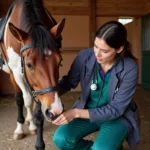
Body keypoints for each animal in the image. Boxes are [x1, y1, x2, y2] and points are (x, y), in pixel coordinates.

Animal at [0, 0, 65, 149]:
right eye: (29, 65)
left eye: (59, 62)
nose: (55, 110)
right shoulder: (15, 72)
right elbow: (23, 99)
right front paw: (19, 129)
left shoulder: (41, 92)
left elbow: (38, 111)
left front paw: (35, 128)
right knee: (23, 98)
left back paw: (31, 124)